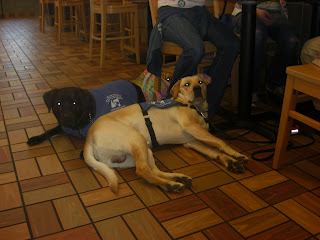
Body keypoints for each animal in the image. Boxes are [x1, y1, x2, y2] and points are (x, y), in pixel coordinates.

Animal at [82, 74, 248, 194]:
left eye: (200, 82)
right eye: (186, 84)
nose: (197, 89)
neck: (195, 106)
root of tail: (88, 138)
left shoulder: (191, 141)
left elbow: (213, 151)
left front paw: (230, 162)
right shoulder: (191, 127)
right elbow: (220, 142)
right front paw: (237, 155)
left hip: (141, 151)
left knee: (153, 170)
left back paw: (177, 179)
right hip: (136, 138)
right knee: (143, 171)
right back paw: (171, 185)